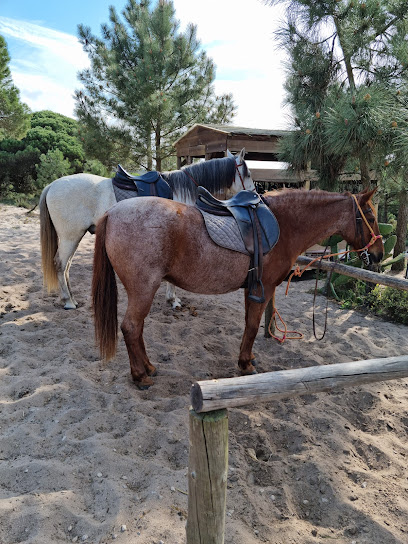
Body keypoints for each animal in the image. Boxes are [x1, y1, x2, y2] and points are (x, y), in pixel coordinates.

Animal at [39, 149, 253, 310]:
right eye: (248, 172)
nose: (254, 193)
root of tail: (52, 185)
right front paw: (173, 300)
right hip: (70, 236)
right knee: (60, 264)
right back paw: (68, 301)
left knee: (66, 267)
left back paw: (71, 298)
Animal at [91, 189, 382, 388]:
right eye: (370, 216)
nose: (379, 254)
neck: (285, 223)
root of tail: (112, 213)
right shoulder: (263, 290)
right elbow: (252, 326)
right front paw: (245, 364)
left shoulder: (250, 289)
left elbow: (247, 325)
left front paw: (247, 358)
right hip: (144, 289)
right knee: (131, 327)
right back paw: (140, 376)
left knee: (136, 329)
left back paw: (149, 367)